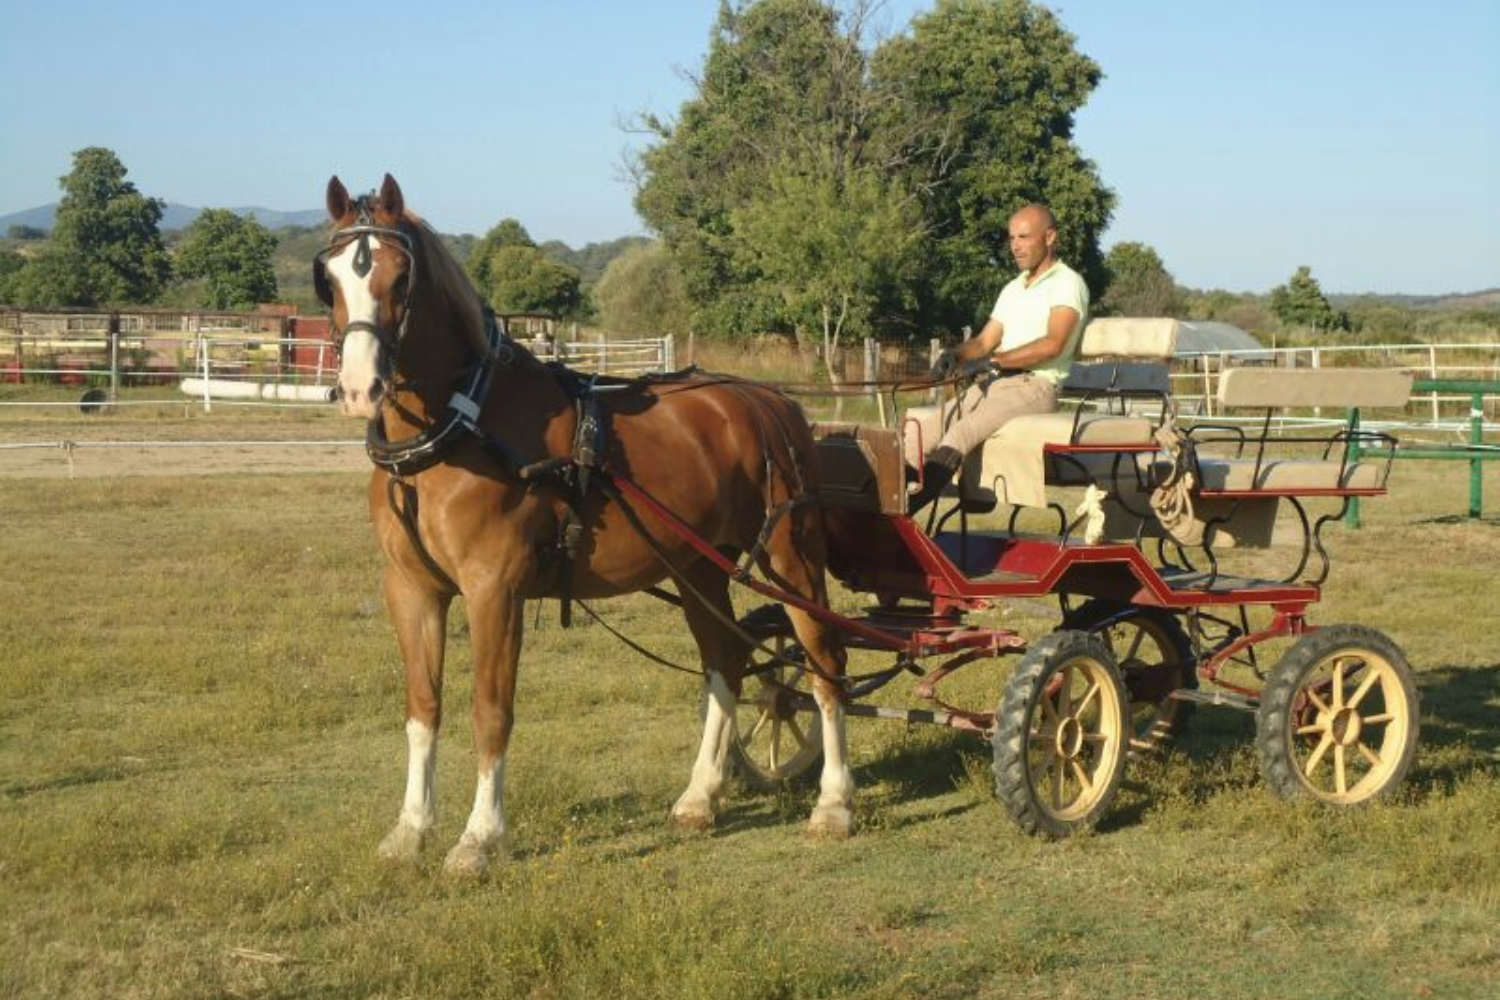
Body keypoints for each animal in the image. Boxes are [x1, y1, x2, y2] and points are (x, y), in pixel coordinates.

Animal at [318, 176, 852, 869]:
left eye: (400, 275)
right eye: (330, 277)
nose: (362, 387)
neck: (463, 425)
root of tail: (766, 400)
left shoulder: (495, 590)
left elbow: (491, 710)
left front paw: (479, 838)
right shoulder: (412, 589)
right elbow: (422, 707)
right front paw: (411, 829)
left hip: (790, 556)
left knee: (821, 658)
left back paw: (834, 803)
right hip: (697, 569)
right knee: (726, 662)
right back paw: (700, 797)